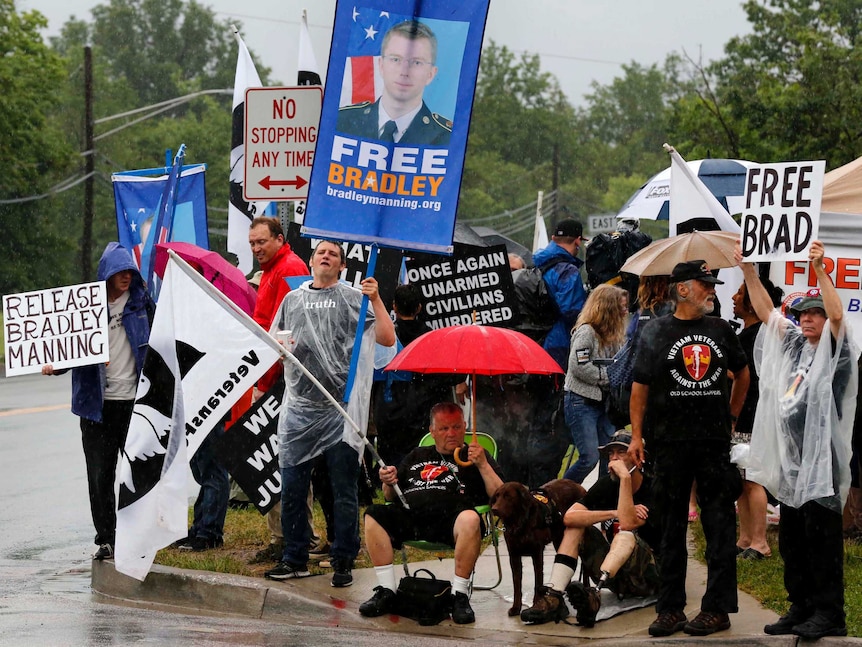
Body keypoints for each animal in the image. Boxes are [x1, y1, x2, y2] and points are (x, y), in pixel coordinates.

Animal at [492, 480, 588, 616]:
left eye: (508, 496)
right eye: (497, 496)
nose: (494, 509)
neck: (520, 523)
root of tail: (579, 487)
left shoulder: (537, 552)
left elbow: (538, 581)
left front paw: (536, 603)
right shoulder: (514, 555)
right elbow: (517, 584)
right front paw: (516, 607)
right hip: (559, 540)